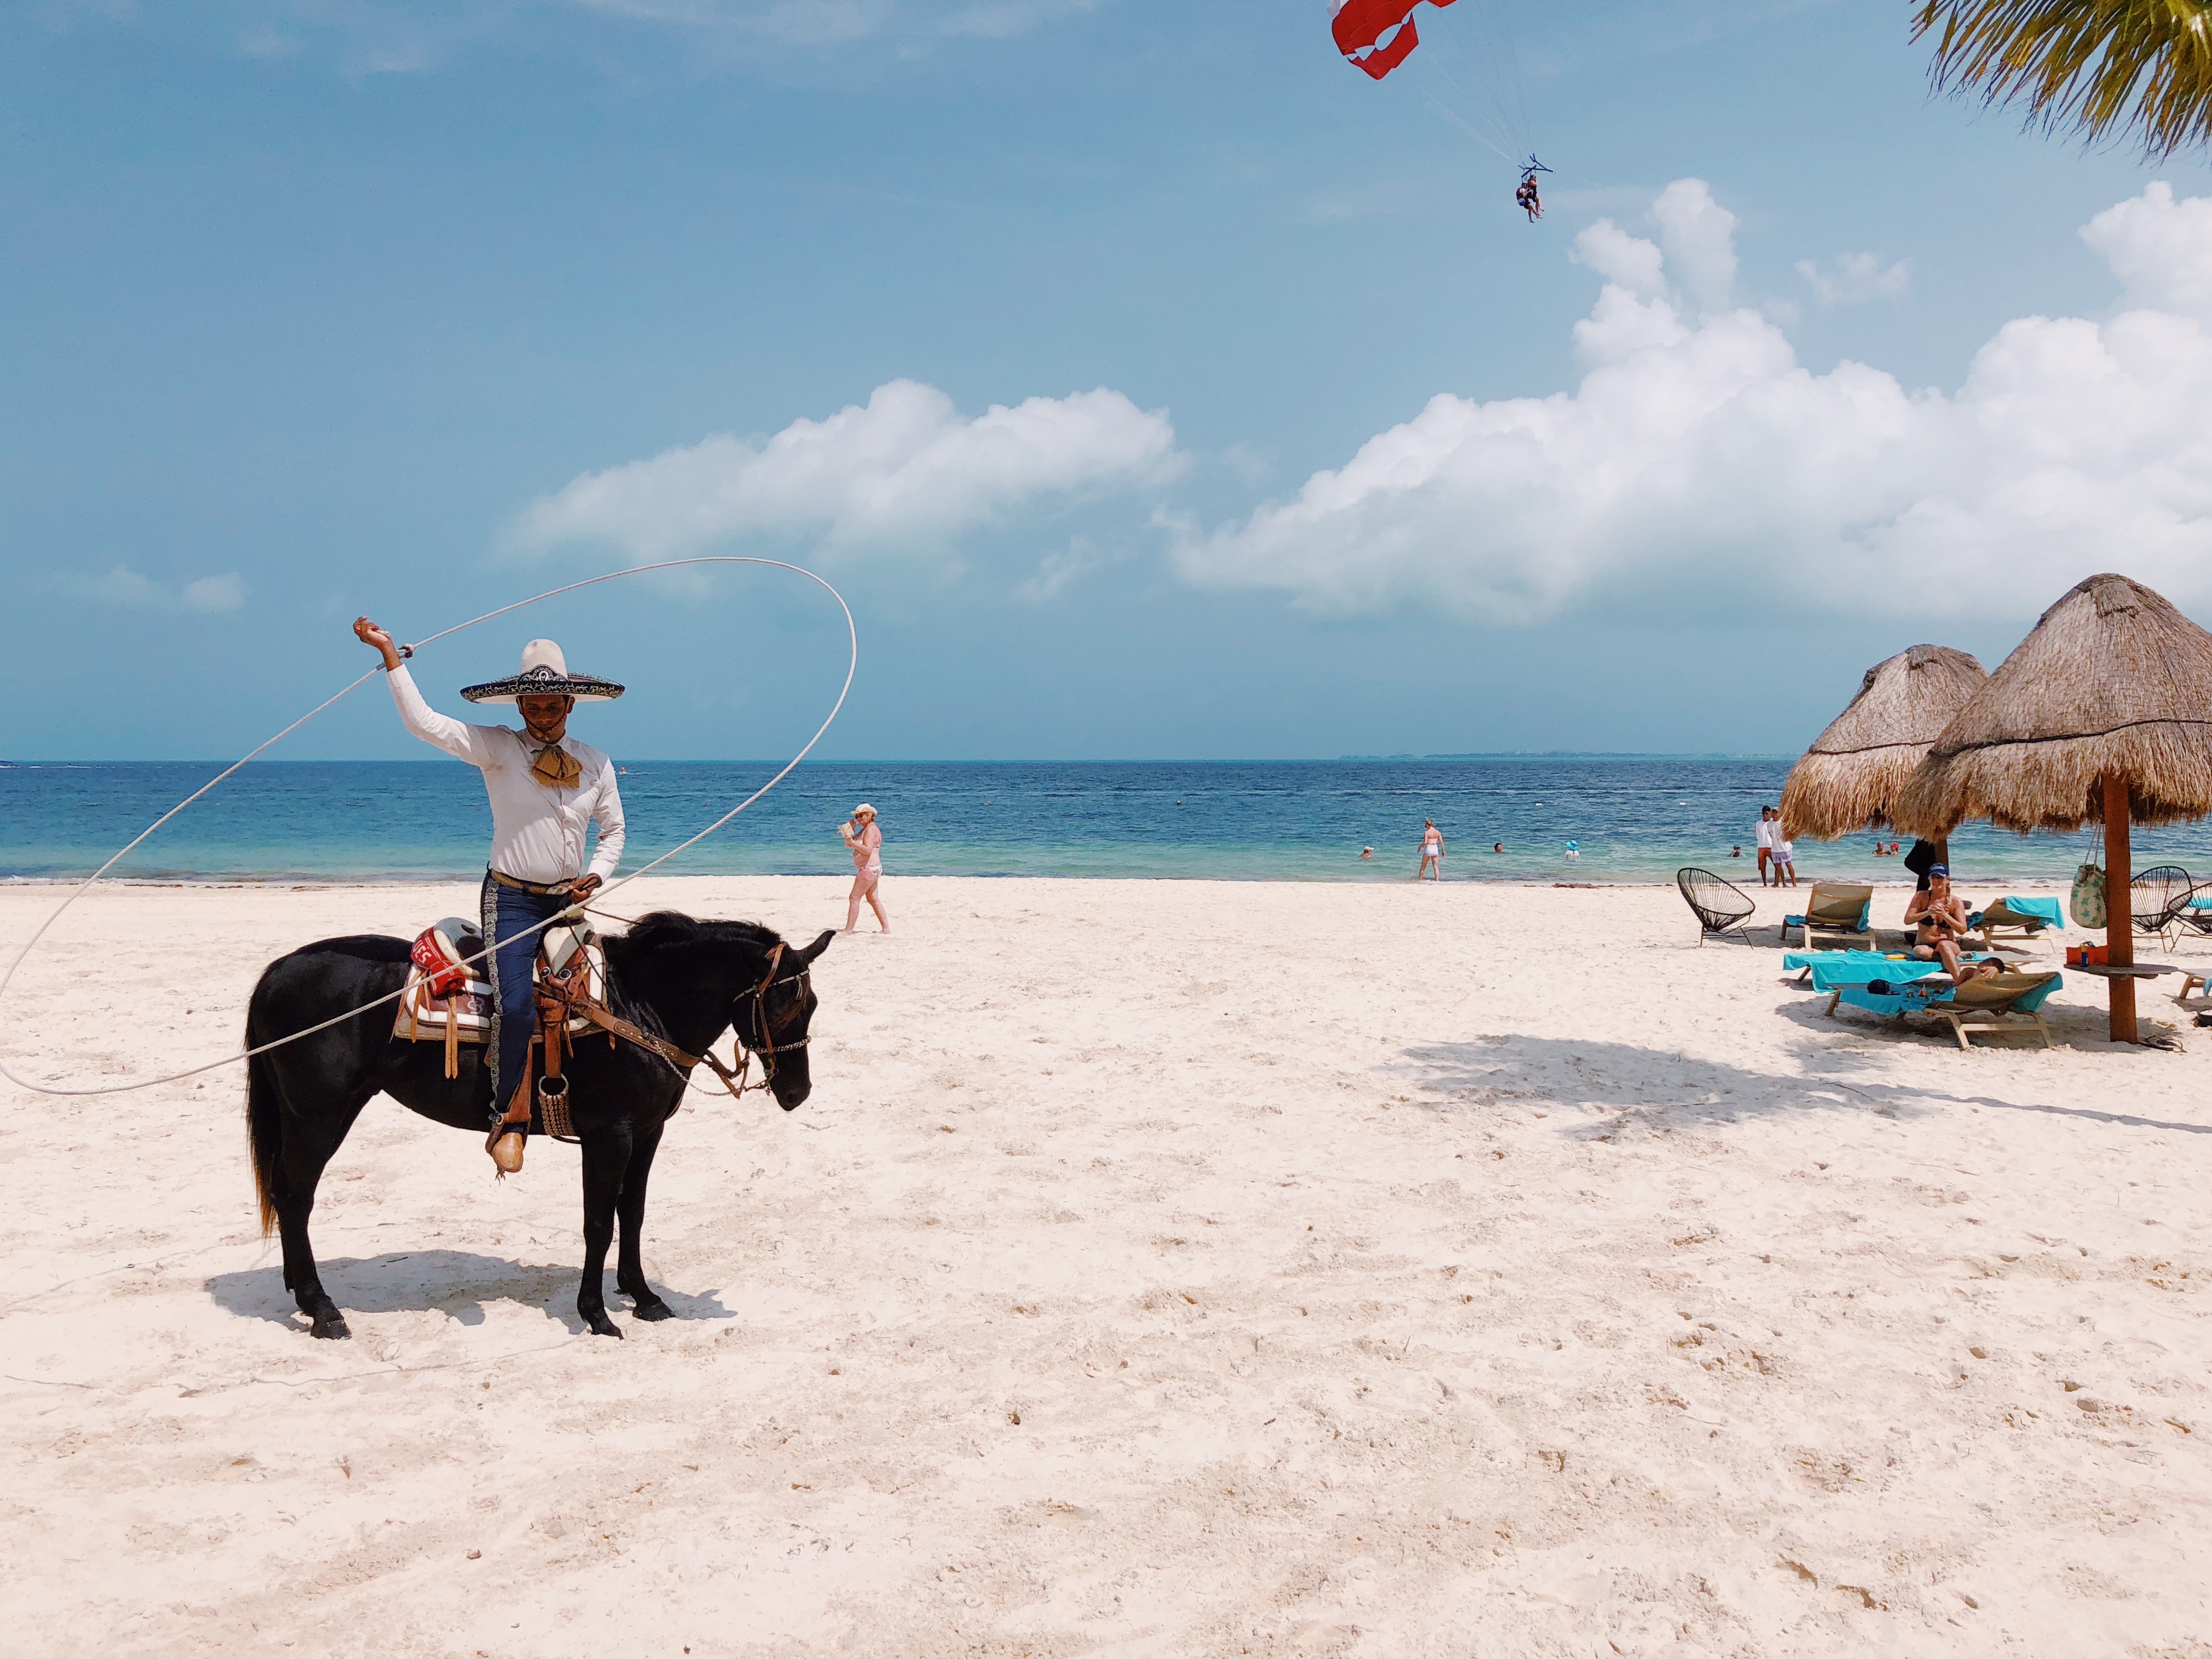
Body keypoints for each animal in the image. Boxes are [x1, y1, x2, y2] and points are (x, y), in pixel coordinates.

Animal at [242, 916, 832, 1345]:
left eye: (812, 1004)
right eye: (781, 1006)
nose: (798, 1092)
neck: (635, 1005)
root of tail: (276, 972)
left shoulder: (647, 1135)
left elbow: (634, 1214)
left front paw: (643, 1297)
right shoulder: (610, 1138)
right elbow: (599, 1224)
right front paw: (596, 1314)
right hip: (317, 1118)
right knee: (294, 1197)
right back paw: (322, 1309)